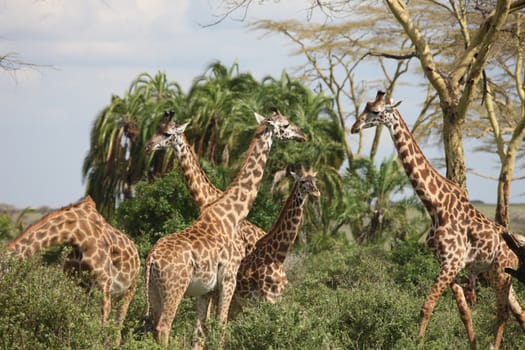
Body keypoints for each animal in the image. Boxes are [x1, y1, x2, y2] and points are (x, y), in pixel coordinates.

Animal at [8, 196, 139, 346]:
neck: (75, 234)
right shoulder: (74, 283)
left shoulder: (104, 284)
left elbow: (102, 328)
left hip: (129, 289)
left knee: (117, 329)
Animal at [143, 109, 308, 348]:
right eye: (285, 125)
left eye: (164, 132)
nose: (302, 135)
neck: (232, 213)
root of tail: (151, 260)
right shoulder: (228, 279)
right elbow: (219, 328)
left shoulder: (208, 289)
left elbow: (200, 332)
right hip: (176, 289)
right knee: (163, 327)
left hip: (155, 292)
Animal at [233, 165, 320, 304]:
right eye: (302, 181)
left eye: (315, 181)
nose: (317, 193)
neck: (278, 257)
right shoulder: (268, 298)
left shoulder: (278, 297)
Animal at [350, 91, 525, 350]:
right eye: (366, 106)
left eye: (376, 111)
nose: (354, 127)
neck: (435, 205)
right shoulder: (448, 264)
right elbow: (464, 314)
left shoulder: (451, 262)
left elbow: (427, 306)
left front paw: (417, 343)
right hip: (499, 273)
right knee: (519, 312)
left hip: (501, 272)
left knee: (502, 313)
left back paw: (494, 346)